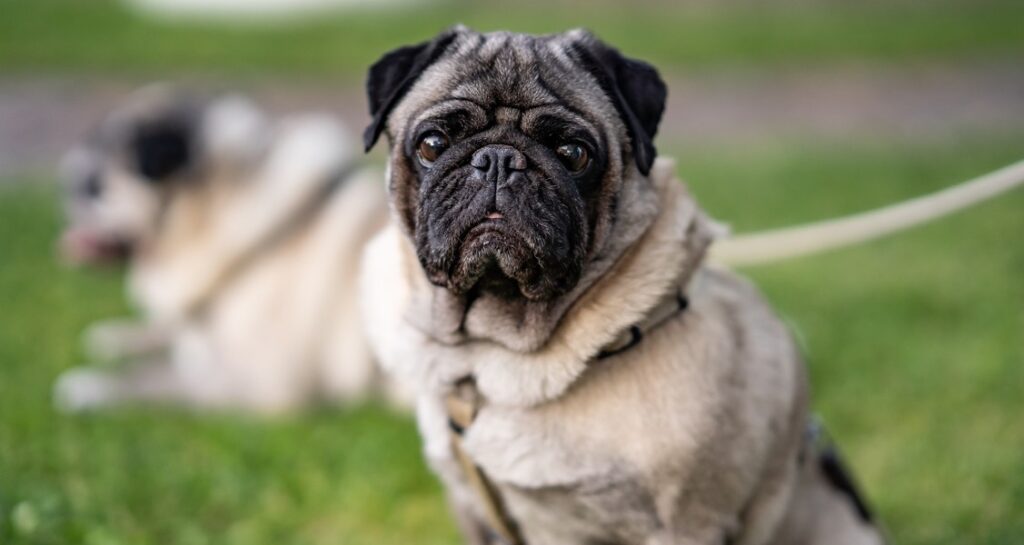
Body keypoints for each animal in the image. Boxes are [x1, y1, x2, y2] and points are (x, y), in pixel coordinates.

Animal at [54, 85, 401, 411]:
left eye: (93, 188)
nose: (69, 184)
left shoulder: (263, 381)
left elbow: (161, 380)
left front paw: (91, 386)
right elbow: (167, 335)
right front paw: (120, 336)